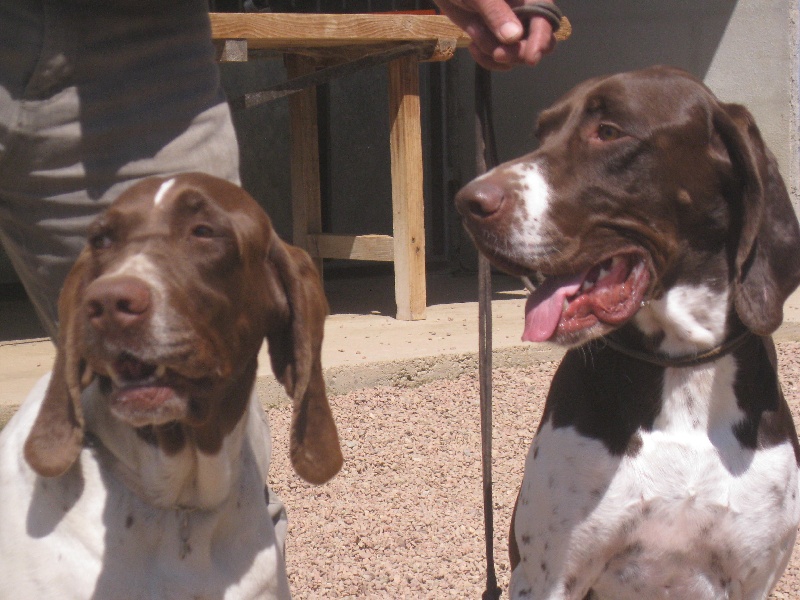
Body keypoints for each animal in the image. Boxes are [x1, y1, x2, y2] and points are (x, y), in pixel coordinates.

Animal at [456, 67, 800, 600]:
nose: (468, 201)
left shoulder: (753, 577)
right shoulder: (549, 575)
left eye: (609, 131)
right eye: (542, 134)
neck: (681, 366)